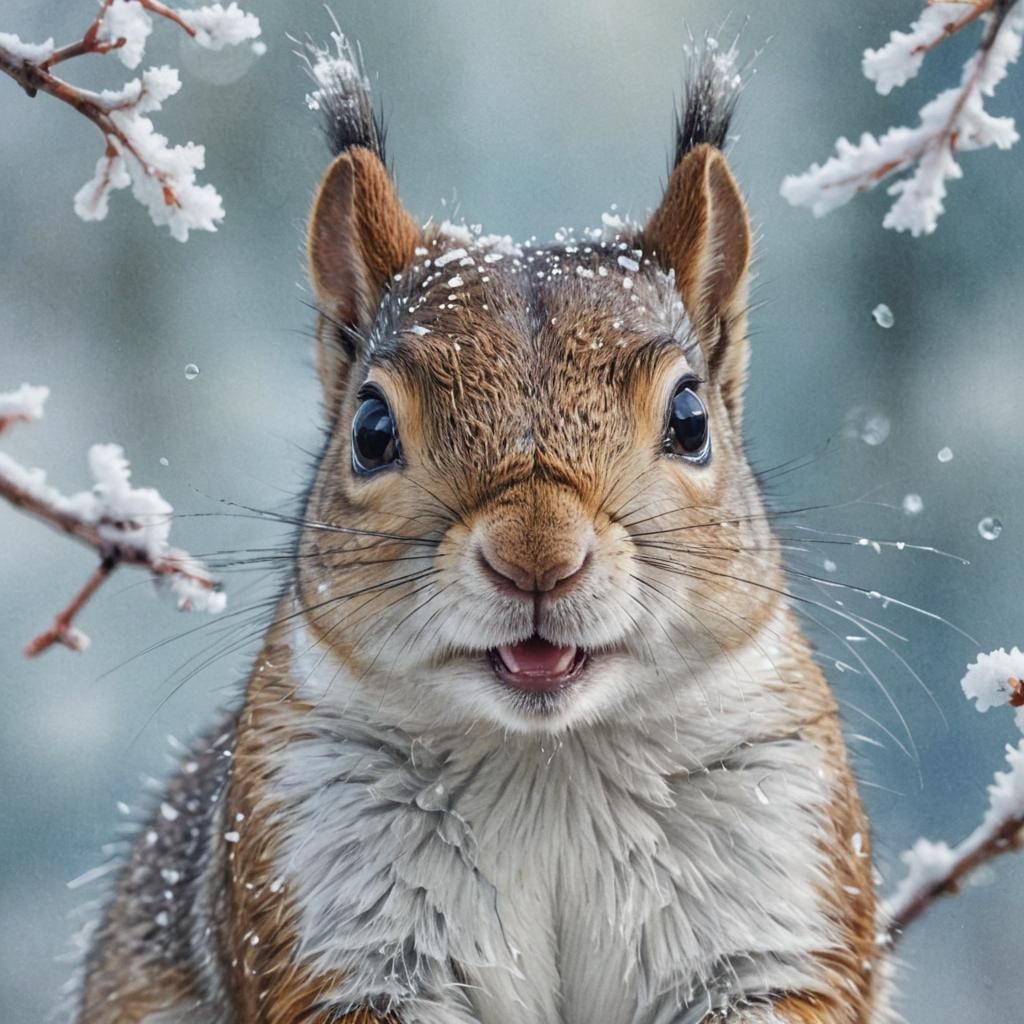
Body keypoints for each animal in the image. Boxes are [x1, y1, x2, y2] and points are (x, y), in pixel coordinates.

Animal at [73, 35, 894, 1024]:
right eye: (371, 430)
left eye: (692, 421)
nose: (537, 557)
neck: (551, 761)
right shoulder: (333, 920)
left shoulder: (771, 888)